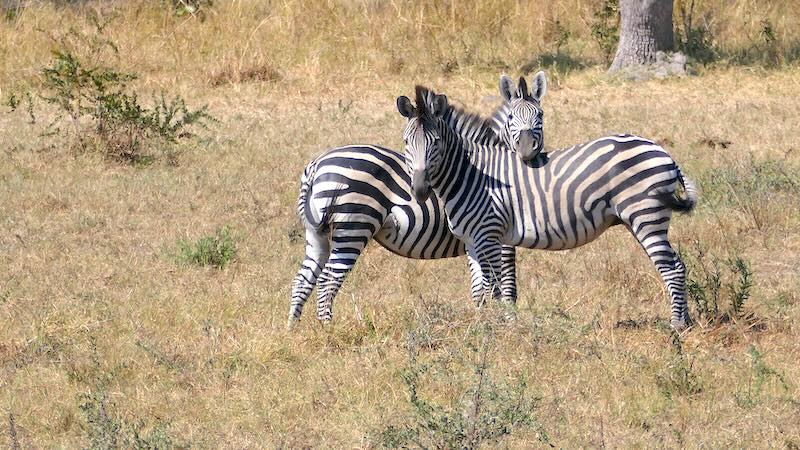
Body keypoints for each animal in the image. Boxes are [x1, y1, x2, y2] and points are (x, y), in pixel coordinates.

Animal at [288, 74, 546, 328]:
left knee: (303, 279)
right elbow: (507, 286)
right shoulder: (498, 235)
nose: (526, 151)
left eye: (540, 116)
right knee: (327, 280)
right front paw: (509, 323)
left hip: (317, 233)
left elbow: (480, 289)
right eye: (511, 118)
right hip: (353, 228)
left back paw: (293, 330)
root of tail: (316, 165)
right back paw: (327, 329)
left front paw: (483, 320)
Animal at [396, 85, 698, 331]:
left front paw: (497, 329)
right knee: (678, 265)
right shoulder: (472, 241)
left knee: (672, 267)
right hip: (642, 219)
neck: (470, 174)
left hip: (646, 217)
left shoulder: (490, 235)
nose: (419, 190)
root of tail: (663, 151)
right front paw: (481, 324)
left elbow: (495, 288)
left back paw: (676, 326)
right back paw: (685, 322)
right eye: (406, 142)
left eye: (436, 143)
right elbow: (478, 290)